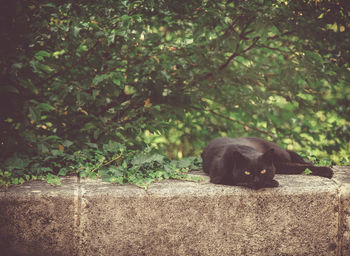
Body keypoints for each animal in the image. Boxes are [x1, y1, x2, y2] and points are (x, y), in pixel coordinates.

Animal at [201, 137, 332, 189]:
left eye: (263, 170)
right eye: (247, 172)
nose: (256, 180)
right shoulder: (218, 178)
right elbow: (237, 180)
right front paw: (273, 182)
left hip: (281, 160)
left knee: (305, 164)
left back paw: (327, 171)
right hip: (281, 165)